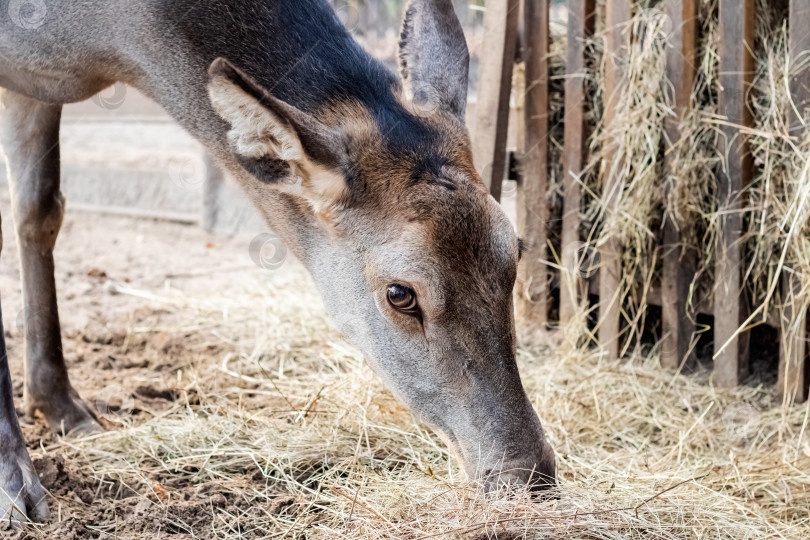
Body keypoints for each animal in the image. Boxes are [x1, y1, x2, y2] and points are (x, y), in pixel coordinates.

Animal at [0, 0, 556, 524]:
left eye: (516, 250)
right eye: (401, 293)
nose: (531, 477)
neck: (95, 46)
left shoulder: (34, 87)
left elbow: (39, 212)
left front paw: (60, 404)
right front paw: (16, 486)